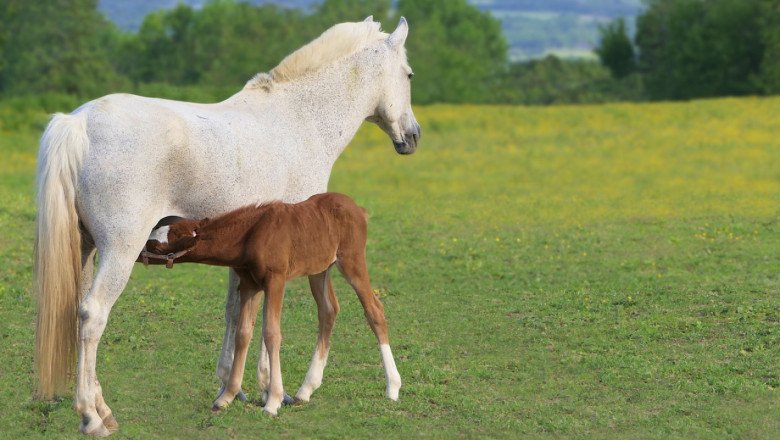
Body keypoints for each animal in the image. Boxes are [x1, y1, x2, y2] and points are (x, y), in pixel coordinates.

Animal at [139, 193, 402, 416]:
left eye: (156, 245)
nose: (138, 254)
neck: (250, 235)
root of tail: (358, 209)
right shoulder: (250, 285)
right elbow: (243, 333)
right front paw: (227, 397)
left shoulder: (276, 280)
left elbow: (271, 333)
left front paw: (273, 401)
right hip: (319, 269)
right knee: (328, 310)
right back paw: (306, 390)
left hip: (351, 261)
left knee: (374, 310)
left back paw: (393, 387)